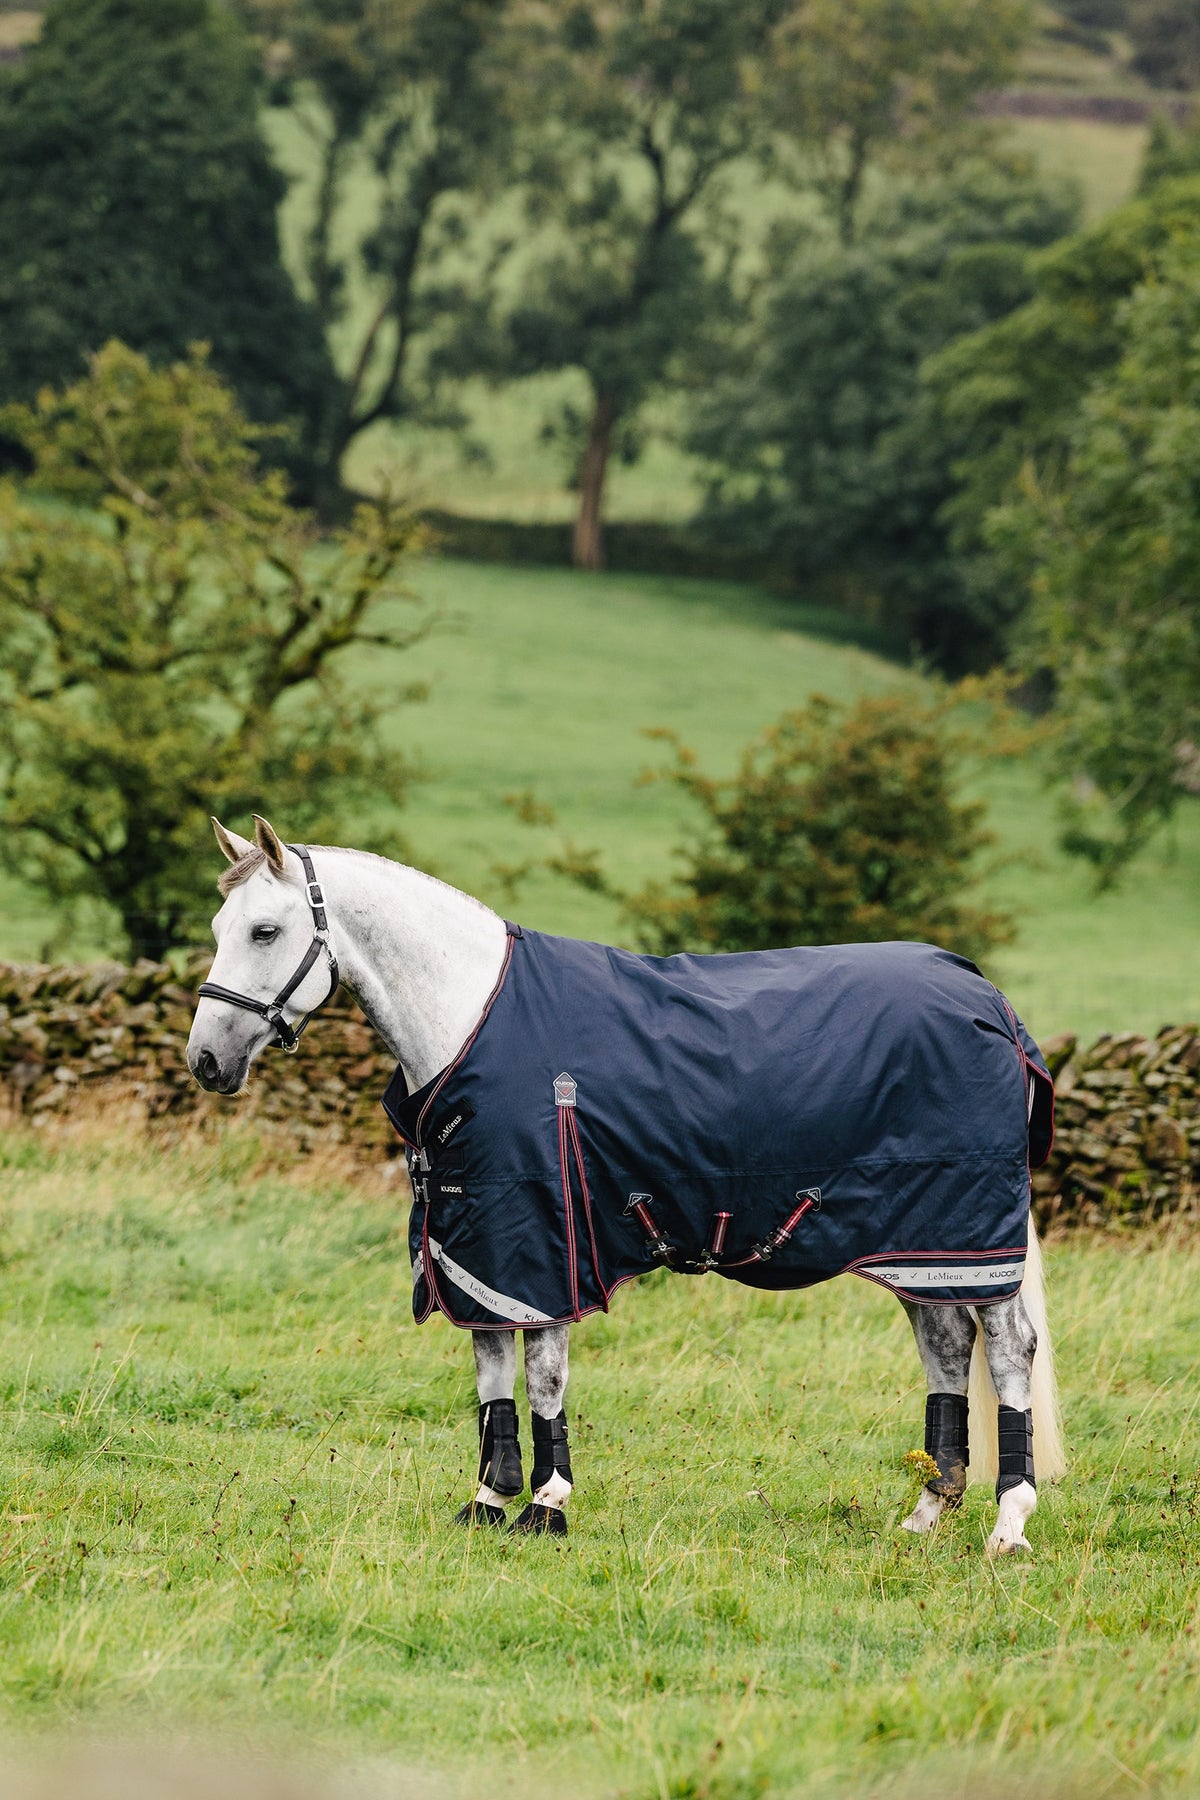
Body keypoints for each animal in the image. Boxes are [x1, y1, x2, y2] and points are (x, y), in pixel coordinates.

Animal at [187, 815, 1066, 1553]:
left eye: (266, 931)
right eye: (220, 930)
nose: (205, 1061)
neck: (471, 1021)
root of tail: (990, 1002)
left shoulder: (542, 1244)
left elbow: (543, 1375)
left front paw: (546, 1505)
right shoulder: (477, 1249)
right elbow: (491, 1375)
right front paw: (488, 1500)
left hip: (970, 1236)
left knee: (1007, 1353)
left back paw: (1008, 1525)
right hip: (919, 1245)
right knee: (945, 1348)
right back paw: (925, 1513)